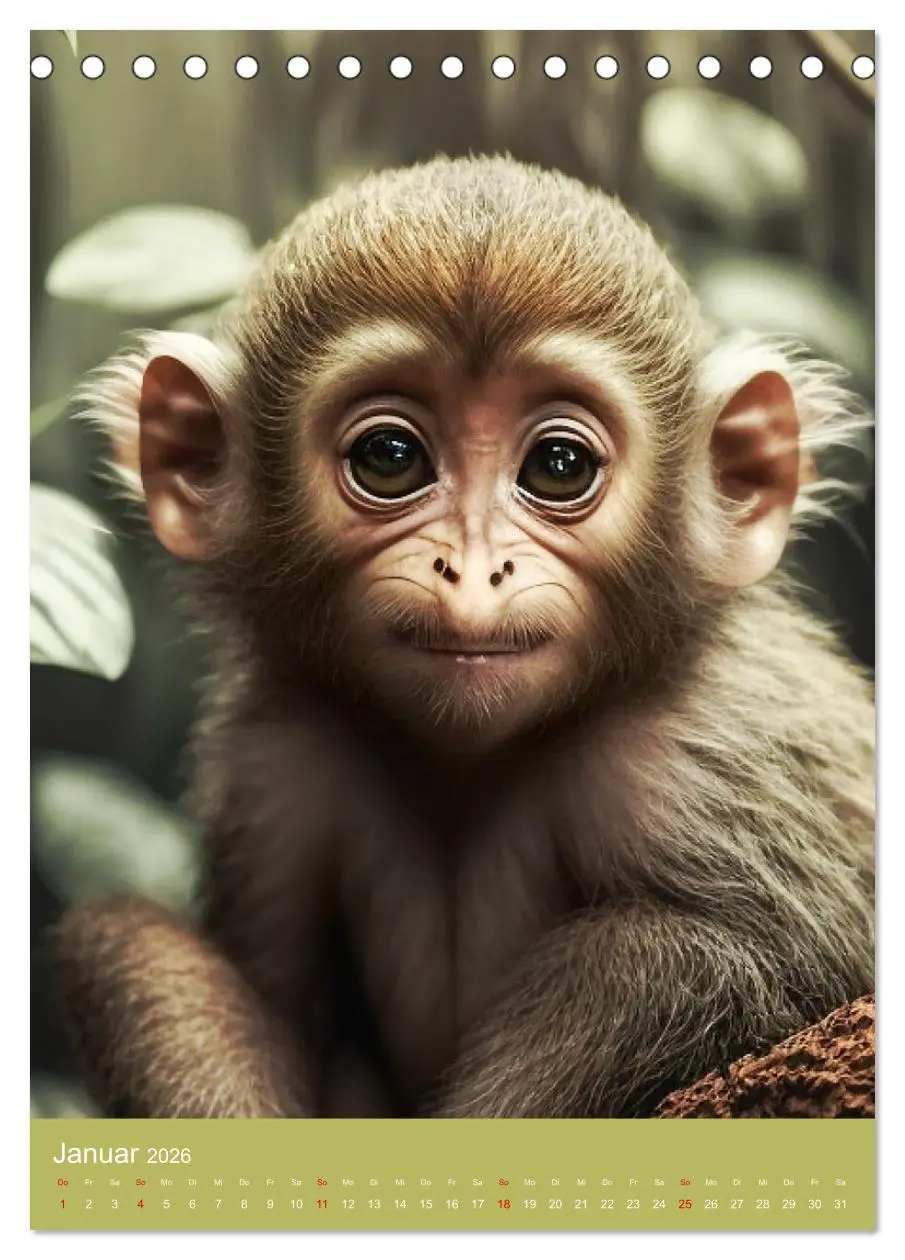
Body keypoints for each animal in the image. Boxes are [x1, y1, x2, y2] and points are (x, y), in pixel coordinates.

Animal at [50, 155, 874, 1121]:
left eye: (559, 467)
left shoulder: (704, 752)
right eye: (390, 457)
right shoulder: (276, 761)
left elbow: (750, 958)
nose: (472, 567)